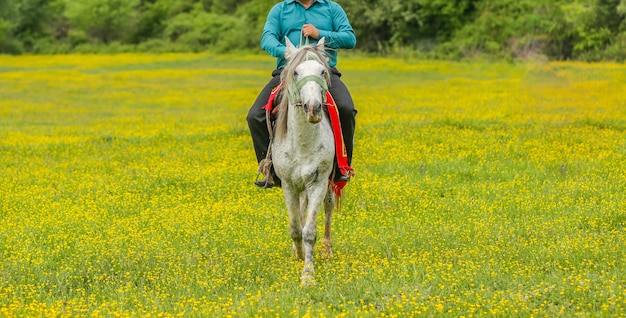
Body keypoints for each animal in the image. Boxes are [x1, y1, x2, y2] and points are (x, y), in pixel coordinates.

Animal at [270, 38, 334, 286]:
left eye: (322, 71)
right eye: (296, 72)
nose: (313, 108)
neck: (303, 143)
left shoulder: (318, 183)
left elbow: (309, 231)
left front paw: (308, 275)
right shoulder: (288, 185)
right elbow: (296, 227)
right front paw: (297, 256)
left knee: (328, 208)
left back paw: (327, 249)